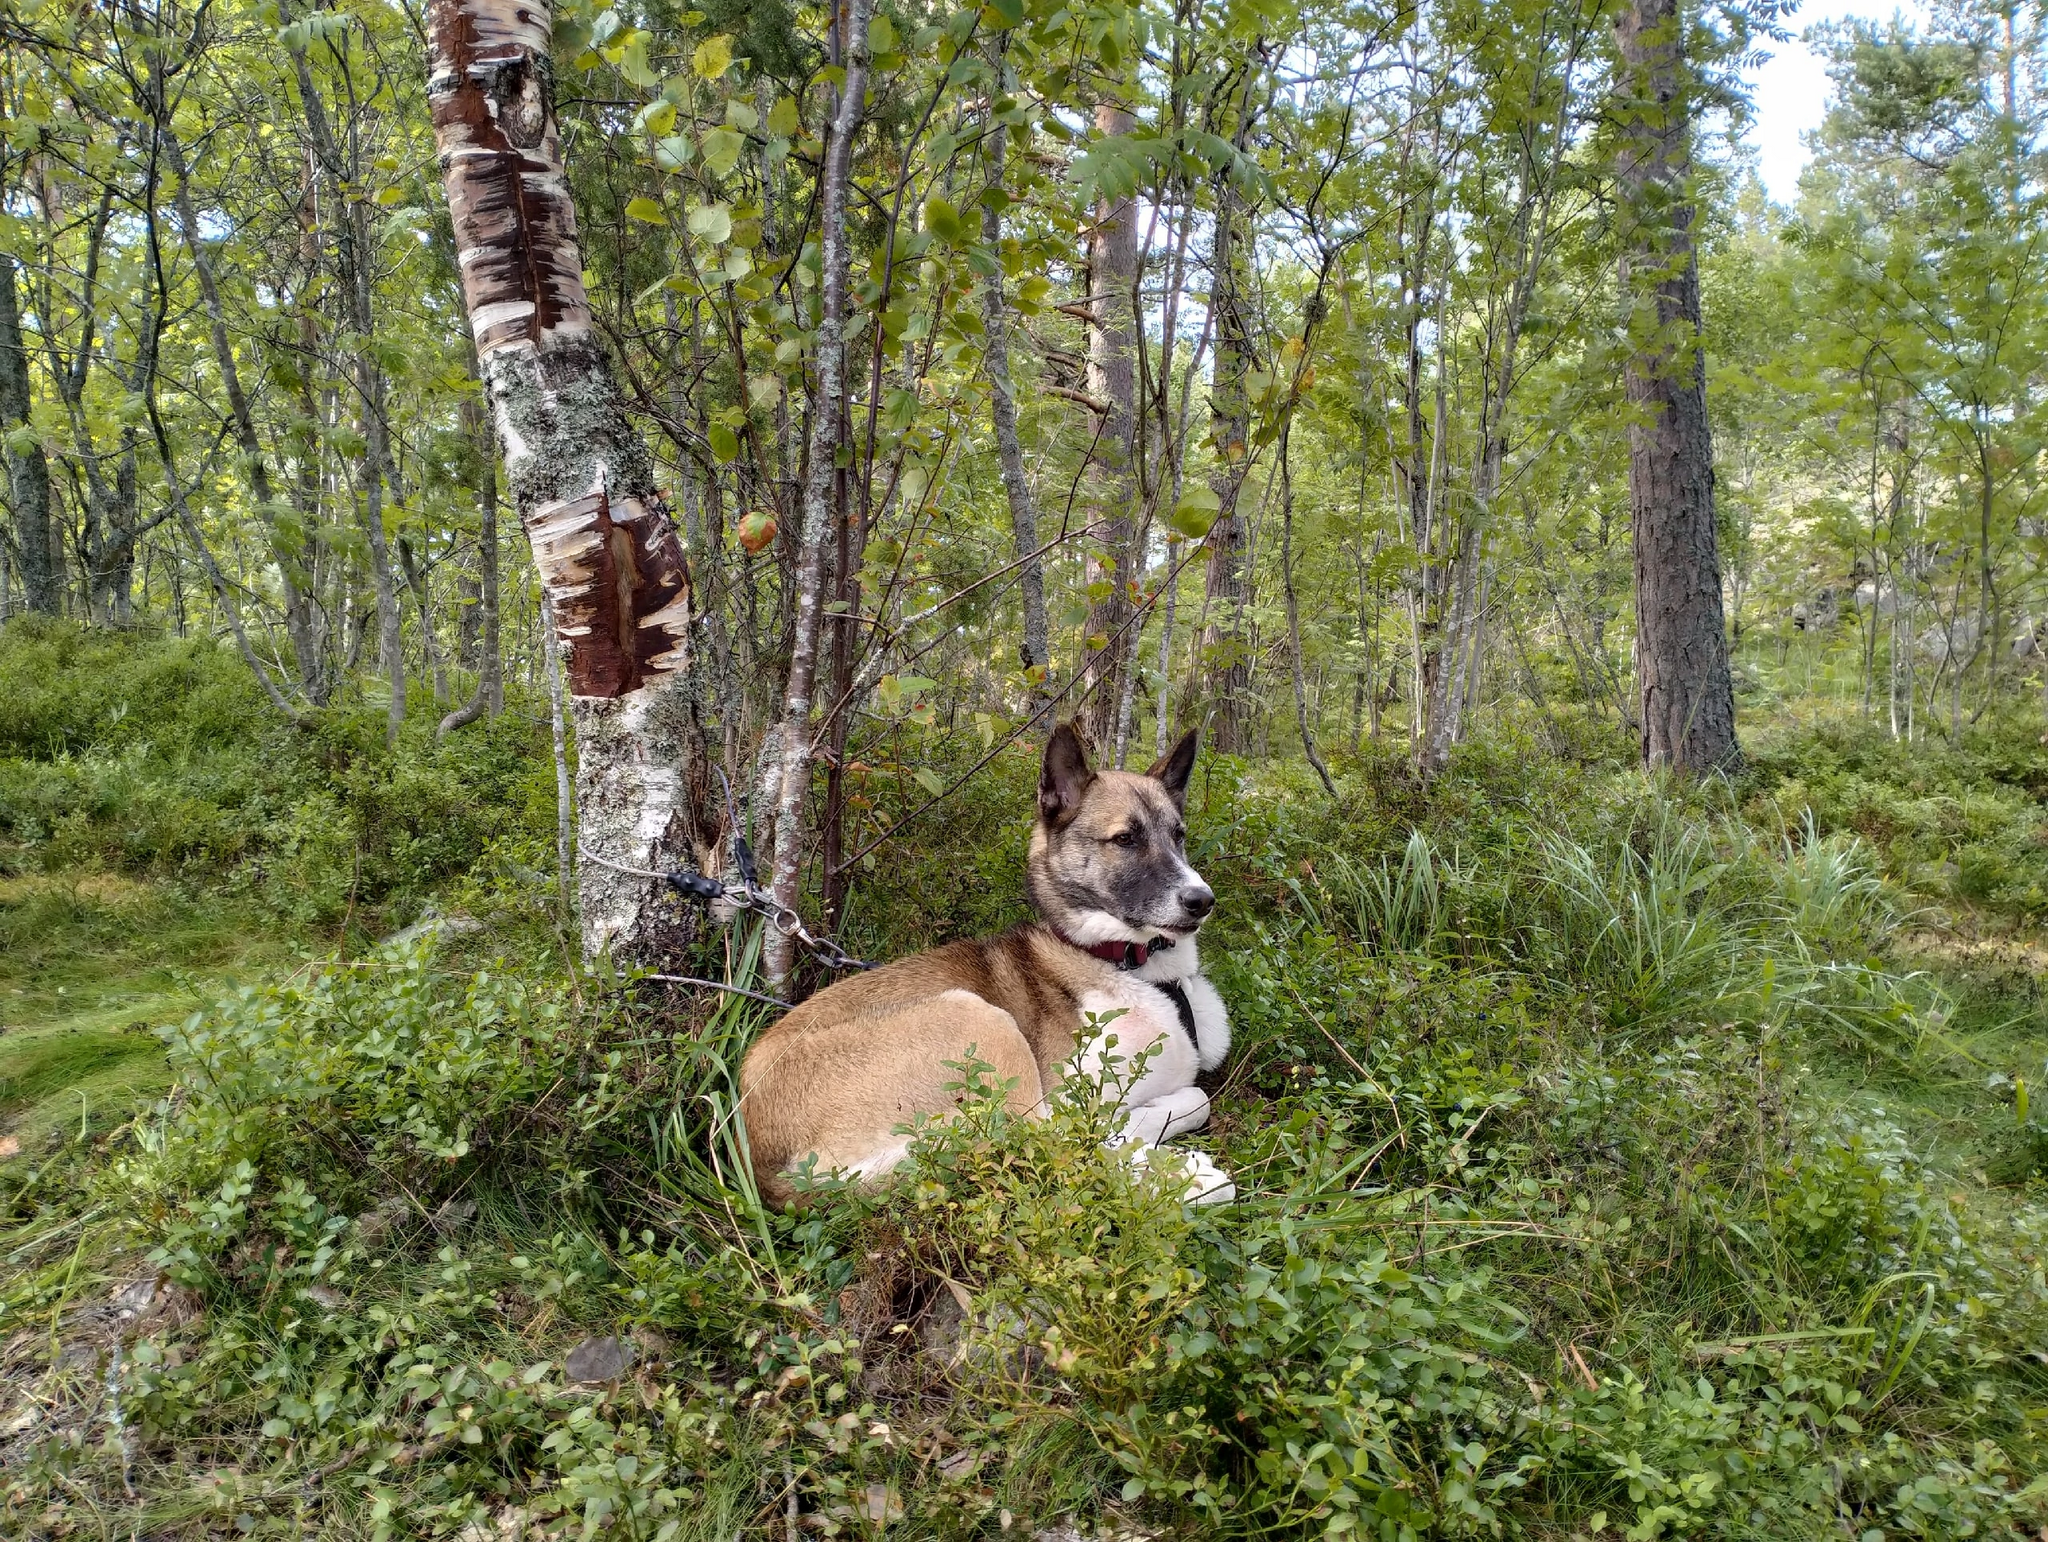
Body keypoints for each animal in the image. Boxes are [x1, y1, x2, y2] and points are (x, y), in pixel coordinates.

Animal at [745, 716, 1236, 1212]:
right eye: (1125, 839)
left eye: (1179, 836)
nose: (1202, 901)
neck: (1130, 964)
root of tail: (764, 1169)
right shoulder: (1065, 1096)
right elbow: (1085, 1130)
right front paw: (1154, 1159)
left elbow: (1195, 1098)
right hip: (978, 1018)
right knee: (1040, 1136)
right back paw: (1190, 1183)